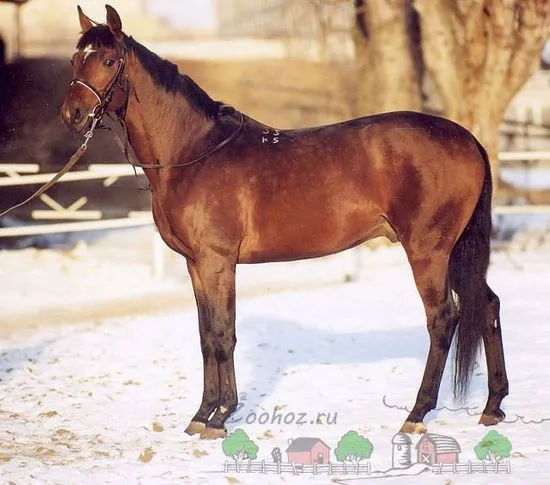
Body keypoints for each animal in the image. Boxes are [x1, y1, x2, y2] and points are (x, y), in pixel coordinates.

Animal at [61, 4, 508, 438]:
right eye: (75, 59)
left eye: (108, 60)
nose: (72, 115)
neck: (194, 152)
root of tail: (466, 139)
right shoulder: (195, 265)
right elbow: (206, 337)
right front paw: (201, 414)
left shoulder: (218, 261)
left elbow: (223, 334)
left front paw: (220, 417)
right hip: (455, 251)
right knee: (486, 304)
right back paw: (492, 407)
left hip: (429, 251)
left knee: (443, 319)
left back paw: (416, 414)